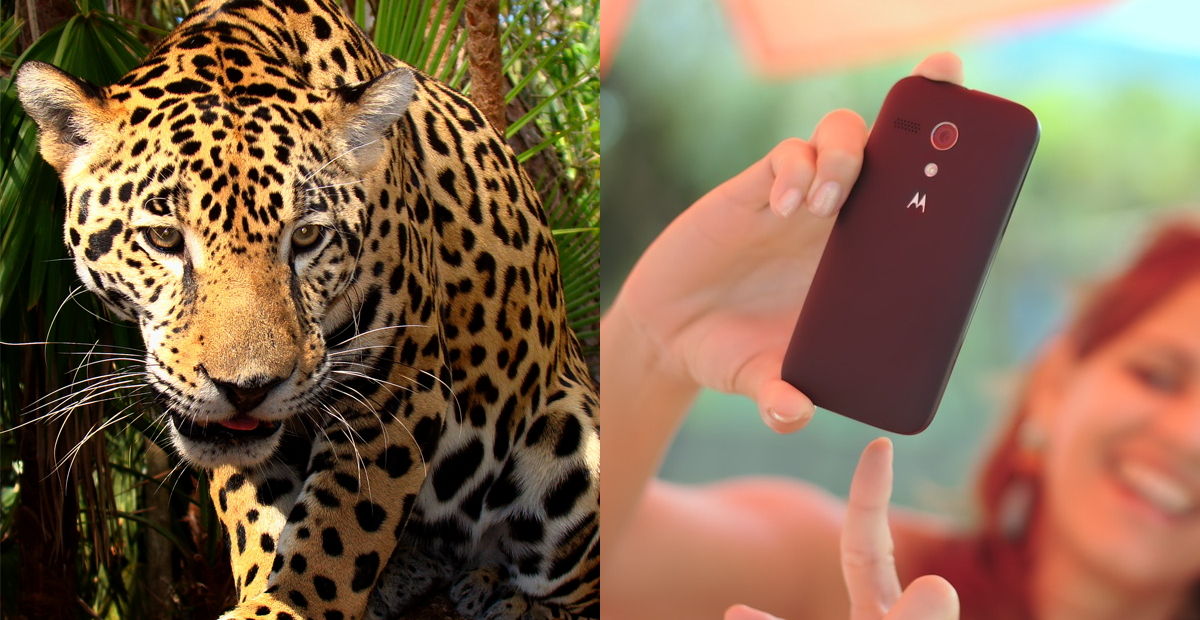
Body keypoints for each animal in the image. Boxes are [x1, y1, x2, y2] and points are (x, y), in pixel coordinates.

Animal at [14, 0, 599, 619]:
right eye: (165, 238)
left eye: (307, 237)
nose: (246, 390)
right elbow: (259, 518)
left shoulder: (398, 386)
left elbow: (340, 532)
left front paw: (288, 602)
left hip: (571, 440)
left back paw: (507, 597)